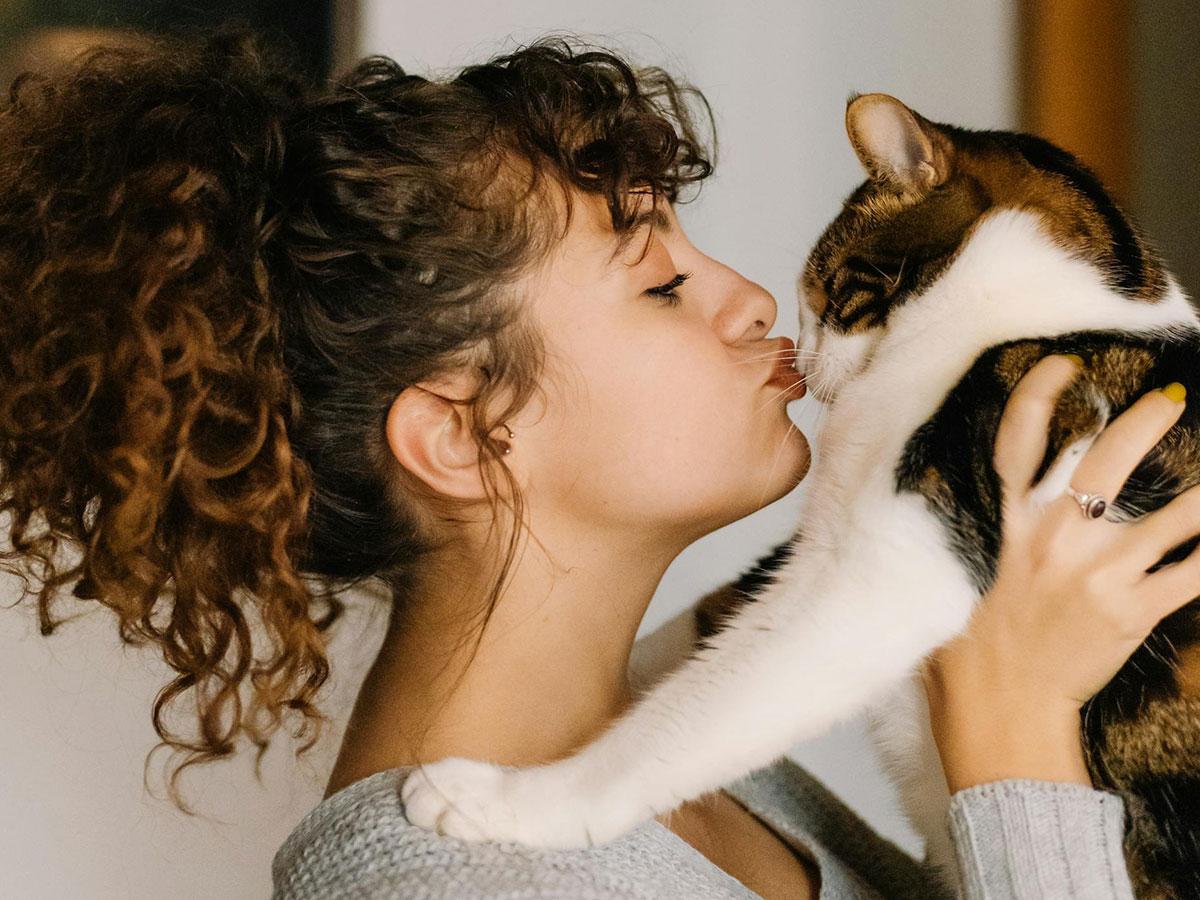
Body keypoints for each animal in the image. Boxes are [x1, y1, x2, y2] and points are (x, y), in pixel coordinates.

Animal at [400, 93, 1200, 900]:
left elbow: (697, 711)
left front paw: (509, 801)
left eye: (826, 290)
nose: (796, 354)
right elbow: (723, 612)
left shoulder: (896, 561)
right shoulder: (822, 541)